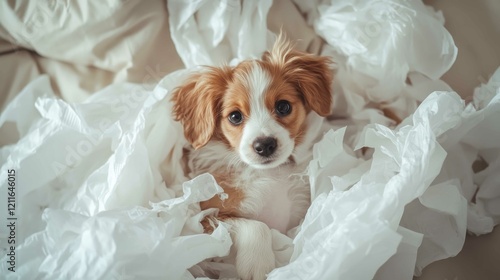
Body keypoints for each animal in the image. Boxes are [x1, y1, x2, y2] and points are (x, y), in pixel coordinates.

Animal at [171, 36, 332, 280]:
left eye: (283, 106)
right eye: (235, 116)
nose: (265, 145)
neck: (267, 174)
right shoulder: (203, 219)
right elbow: (256, 225)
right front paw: (258, 264)